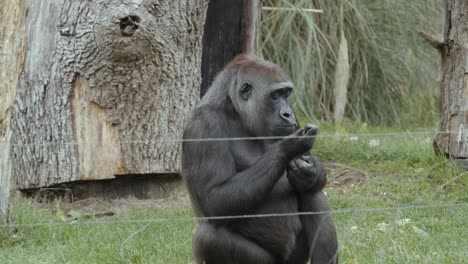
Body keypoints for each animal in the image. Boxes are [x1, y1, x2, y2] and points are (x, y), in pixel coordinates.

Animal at [181, 54, 338, 264]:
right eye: (275, 95)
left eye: (286, 94)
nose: (287, 113)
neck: (235, 111)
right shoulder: (203, 125)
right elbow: (214, 197)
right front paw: (288, 147)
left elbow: (312, 175)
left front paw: (309, 172)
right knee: (209, 238)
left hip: (295, 260)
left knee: (312, 193)